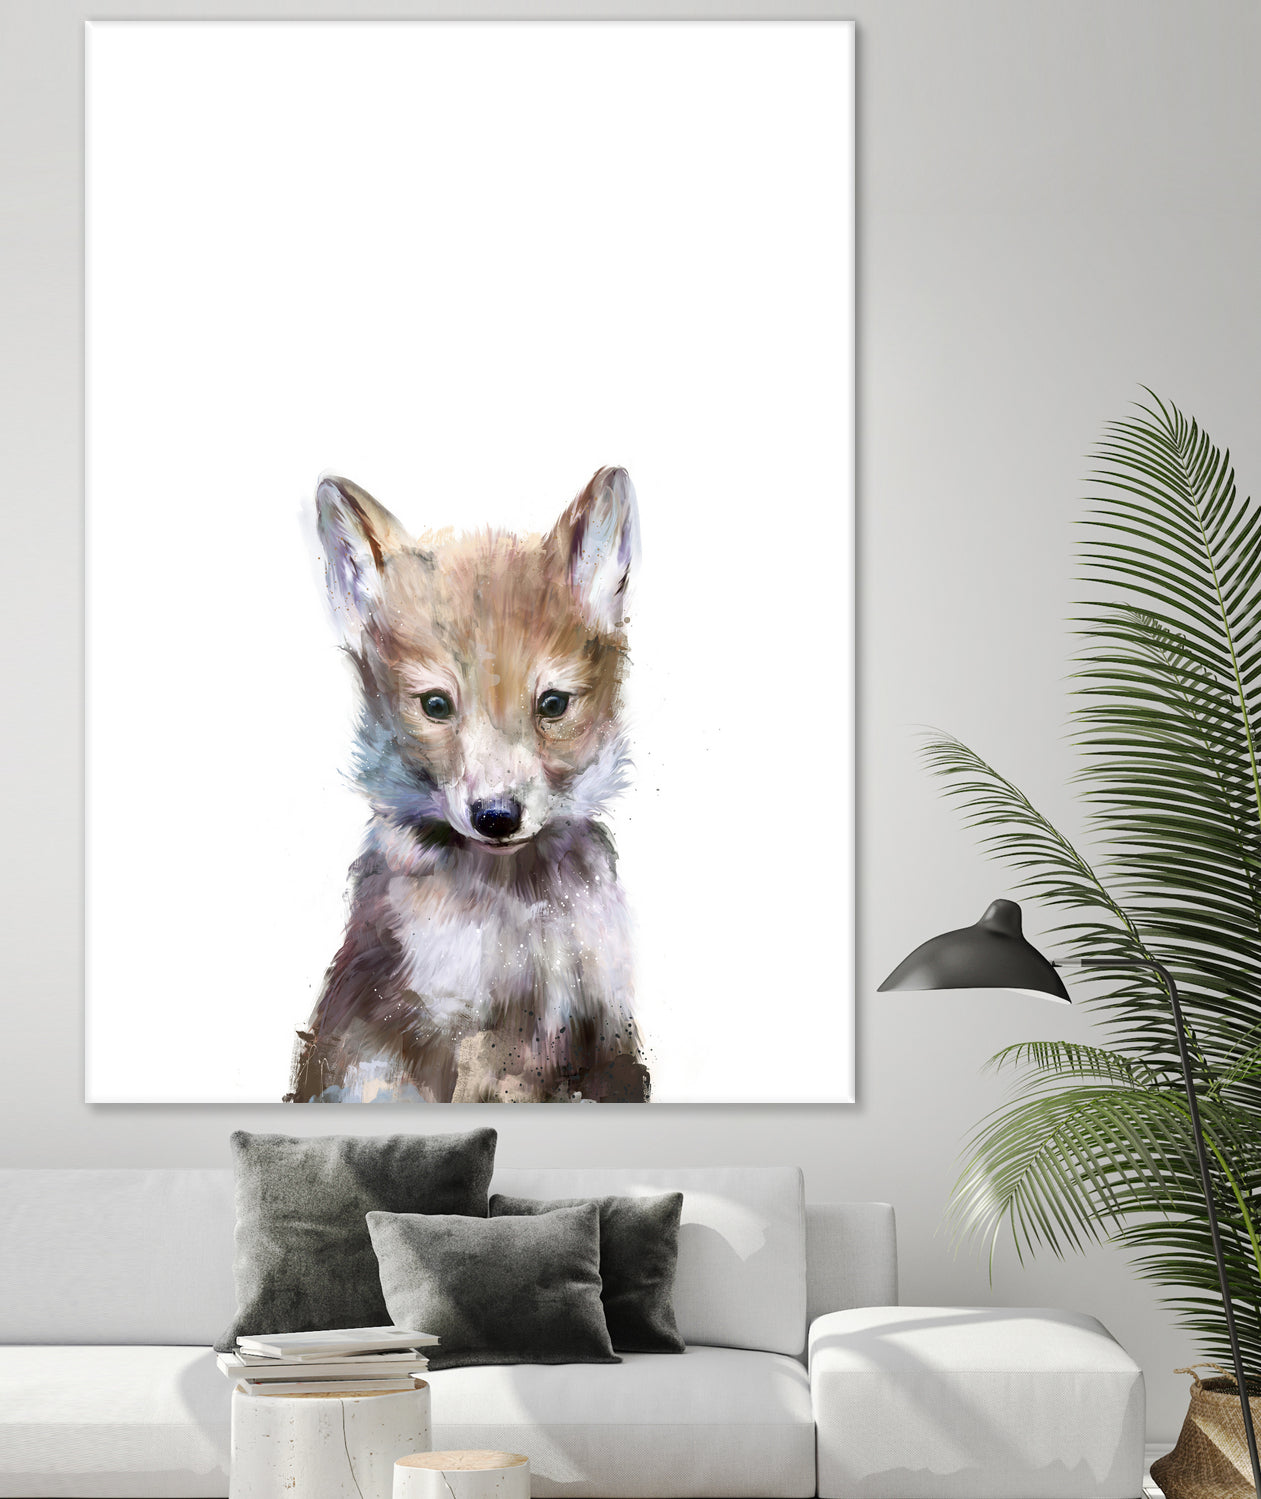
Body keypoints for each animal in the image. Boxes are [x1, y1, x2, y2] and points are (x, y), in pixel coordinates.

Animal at [287, 467, 648, 1104]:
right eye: (436, 705)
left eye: (553, 704)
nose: (497, 817)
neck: (521, 914)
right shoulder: (453, 1035)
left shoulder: (604, 1031)